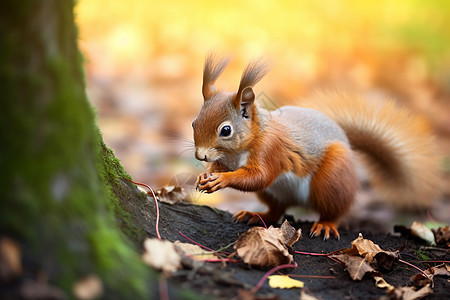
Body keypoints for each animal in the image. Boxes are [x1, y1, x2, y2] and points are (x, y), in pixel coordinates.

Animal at [192, 55, 442, 240]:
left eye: (226, 130)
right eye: (194, 122)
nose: (200, 155)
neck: (237, 152)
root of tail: (347, 142)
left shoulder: (270, 150)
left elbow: (258, 176)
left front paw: (221, 180)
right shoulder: (226, 160)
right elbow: (223, 168)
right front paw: (205, 175)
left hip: (331, 180)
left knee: (335, 210)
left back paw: (326, 225)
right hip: (274, 193)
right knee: (276, 211)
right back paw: (255, 214)